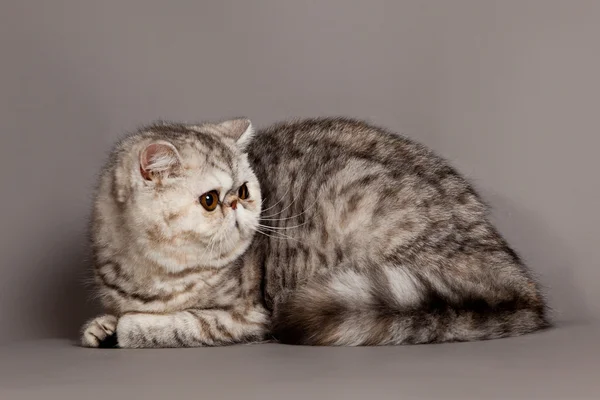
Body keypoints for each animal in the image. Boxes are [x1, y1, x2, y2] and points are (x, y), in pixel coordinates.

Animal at [82, 116, 552, 346]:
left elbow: (178, 323)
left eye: (244, 191)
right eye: (210, 200)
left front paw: (128, 329)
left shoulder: (246, 315)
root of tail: (514, 277)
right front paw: (103, 325)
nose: (239, 207)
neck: (153, 273)